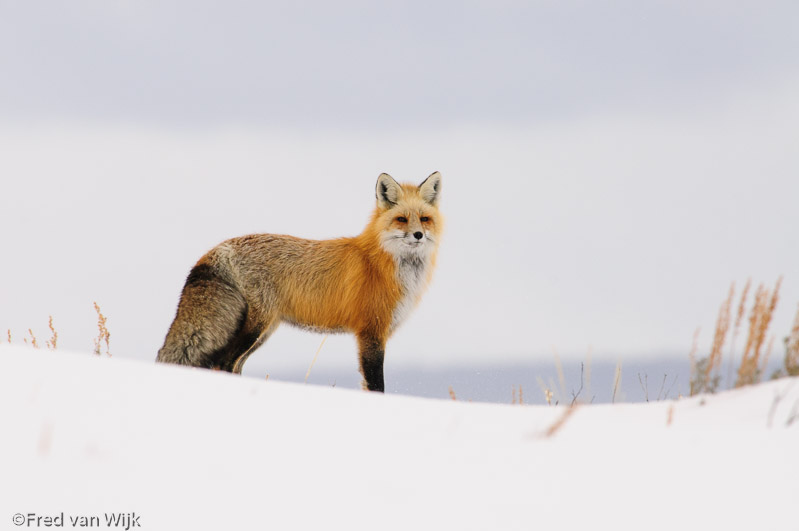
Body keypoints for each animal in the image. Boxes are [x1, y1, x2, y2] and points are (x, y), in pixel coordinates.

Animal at [156, 172, 442, 392]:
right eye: (401, 219)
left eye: (424, 219)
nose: (418, 235)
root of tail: (220, 248)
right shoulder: (371, 332)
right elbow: (376, 385)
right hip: (256, 325)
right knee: (224, 363)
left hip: (264, 330)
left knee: (233, 364)